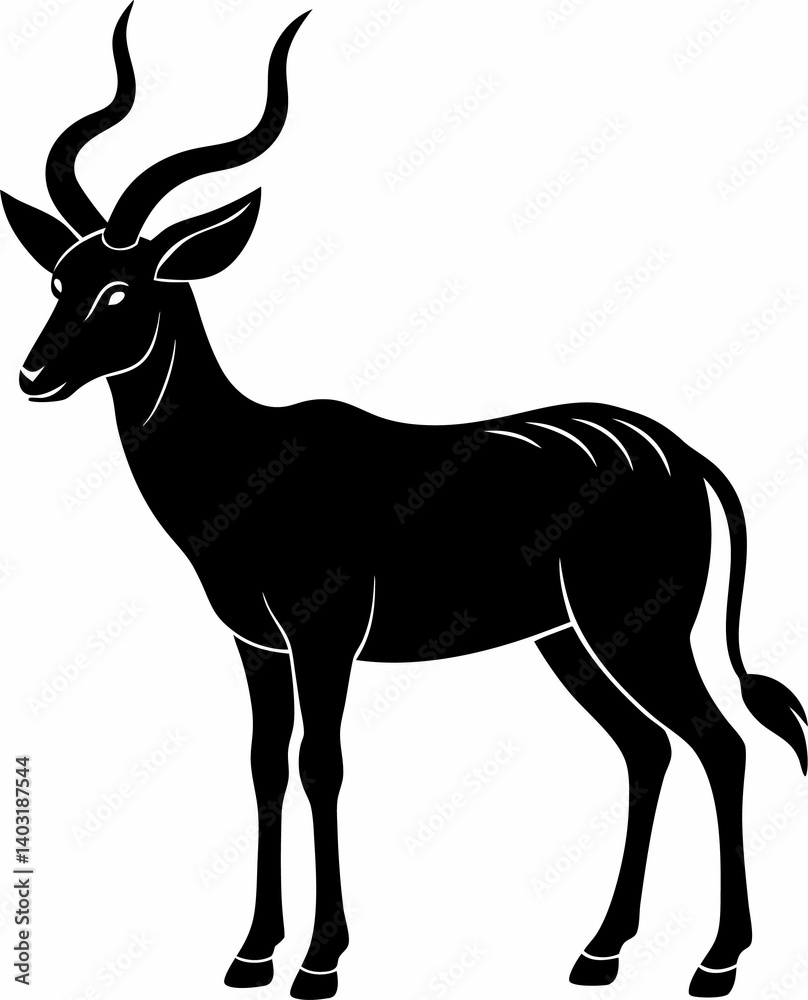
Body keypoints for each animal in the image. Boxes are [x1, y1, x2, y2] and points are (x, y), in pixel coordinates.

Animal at [4, 5, 807, 998]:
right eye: (58, 279)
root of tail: (685, 458)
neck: (247, 461)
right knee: (647, 748)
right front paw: (250, 954)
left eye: (122, 288)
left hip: (639, 629)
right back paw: (598, 953)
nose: (34, 377)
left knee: (719, 743)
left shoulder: (325, 635)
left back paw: (716, 962)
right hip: (569, 641)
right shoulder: (256, 644)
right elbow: (264, 767)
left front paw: (318, 962)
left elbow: (321, 765)